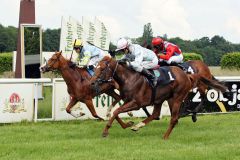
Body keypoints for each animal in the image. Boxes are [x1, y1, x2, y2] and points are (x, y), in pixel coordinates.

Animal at [90, 56, 227, 139]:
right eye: (95, 67)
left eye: (102, 69)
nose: (91, 82)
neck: (129, 78)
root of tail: (187, 75)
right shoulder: (128, 100)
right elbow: (116, 112)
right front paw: (128, 124)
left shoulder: (136, 103)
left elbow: (117, 111)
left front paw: (106, 131)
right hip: (160, 98)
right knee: (156, 114)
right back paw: (138, 126)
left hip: (177, 98)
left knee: (174, 118)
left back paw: (166, 136)